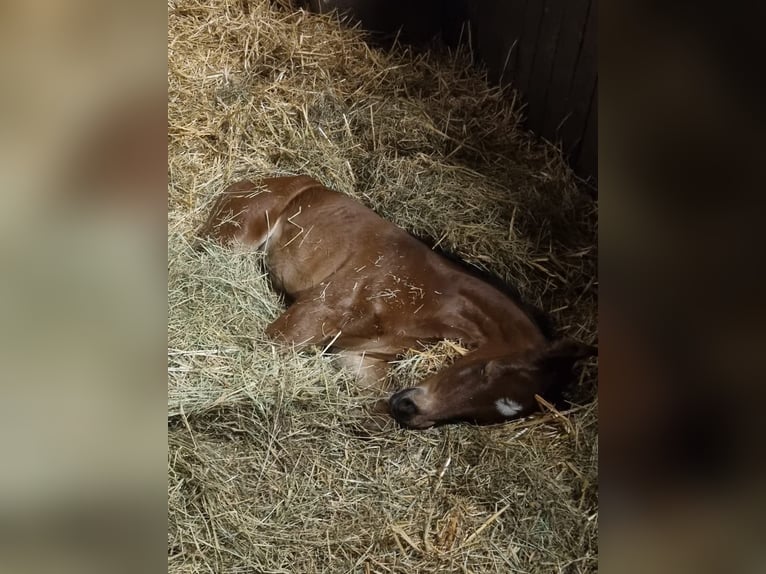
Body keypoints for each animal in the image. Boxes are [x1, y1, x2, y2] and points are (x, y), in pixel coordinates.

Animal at [198, 174, 592, 428]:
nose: (409, 408)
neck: (430, 299)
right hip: (233, 237)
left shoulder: (359, 357)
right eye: (487, 369)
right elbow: (268, 350)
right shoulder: (318, 309)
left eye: (485, 416)